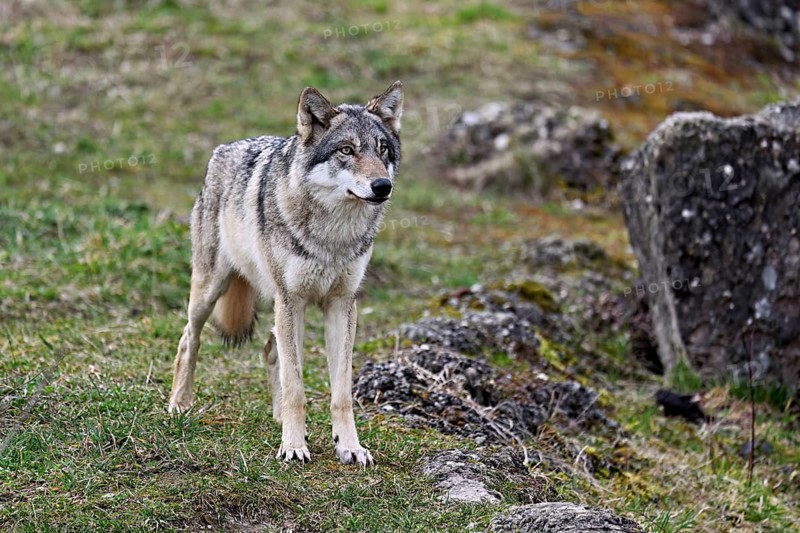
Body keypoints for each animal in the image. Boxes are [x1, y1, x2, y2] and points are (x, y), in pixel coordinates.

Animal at [168, 81, 403, 466]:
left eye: (383, 150)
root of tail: (223, 149)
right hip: (213, 291)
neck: (332, 235)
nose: (383, 186)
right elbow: (296, 388)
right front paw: (292, 446)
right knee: (190, 337)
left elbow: (341, 392)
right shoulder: (291, 299)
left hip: (288, 309)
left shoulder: (341, 304)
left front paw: (350, 447)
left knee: (269, 348)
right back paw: (180, 403)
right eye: (347, 150)